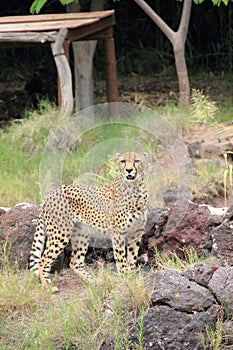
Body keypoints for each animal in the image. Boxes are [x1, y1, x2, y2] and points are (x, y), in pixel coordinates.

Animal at [29, 152, 148, 288]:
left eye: (136, 161)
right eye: (123, 161)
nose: (129, 170)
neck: (135, 189)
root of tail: (50, 193)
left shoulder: (136, 233)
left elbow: (132, 257)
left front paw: (132, 277)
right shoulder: (118, 233)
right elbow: (121, 259)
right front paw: (125, 278)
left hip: (82, 234)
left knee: (75, 262)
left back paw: (95, 282)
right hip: (60, 234)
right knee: (43, 261)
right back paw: (48, 287)